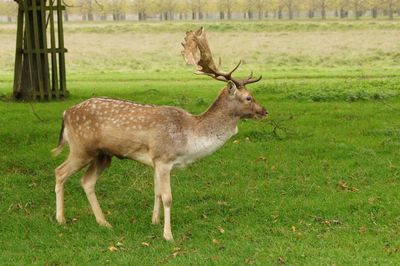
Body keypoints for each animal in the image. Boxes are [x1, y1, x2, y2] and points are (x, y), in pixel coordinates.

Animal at [51, 27, 268, 241]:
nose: (264, 111)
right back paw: (61, 219)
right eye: (248, 97)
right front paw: (168, 235)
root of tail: (66, 113)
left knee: (87, 182)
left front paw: (154, 221)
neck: (189, 138)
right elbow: (167, 197)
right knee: (60, 171)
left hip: (103, 155)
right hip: (81, 148)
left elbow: (156, 192)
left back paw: (104, 222)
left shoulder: (155, 160)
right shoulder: (164, 158)